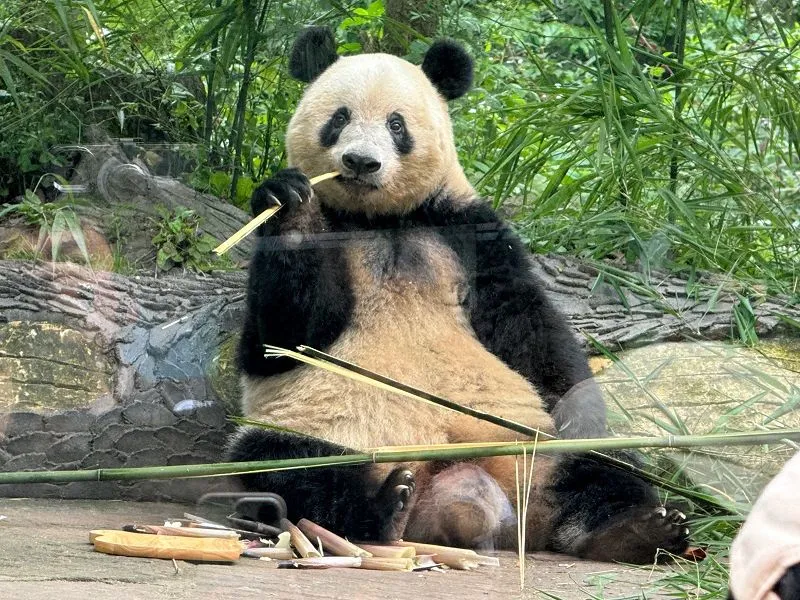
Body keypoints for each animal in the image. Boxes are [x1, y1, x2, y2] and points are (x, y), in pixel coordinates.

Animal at [228, 27, 692, 564]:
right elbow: (281, 339)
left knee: (600, 465)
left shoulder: (467, 230)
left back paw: (637, 531)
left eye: (396, 124)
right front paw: (290, 204)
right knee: (286, 466)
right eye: (339, 118)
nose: (361, 162)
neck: (381, 219)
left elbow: (529, 326)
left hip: (530, 442)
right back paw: (388, 505)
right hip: (324, 431)